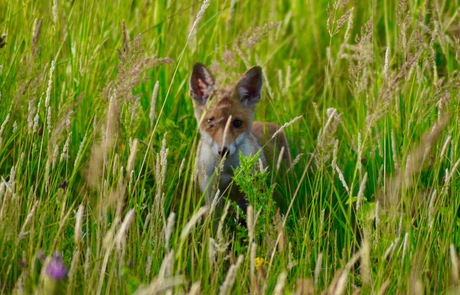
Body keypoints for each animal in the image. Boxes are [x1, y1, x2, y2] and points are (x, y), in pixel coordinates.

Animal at [190, 63, 292, 221]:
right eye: (210, 121)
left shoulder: (250, 192)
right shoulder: (212, 195)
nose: (223, 151)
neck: (227, 170)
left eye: (237, 123)